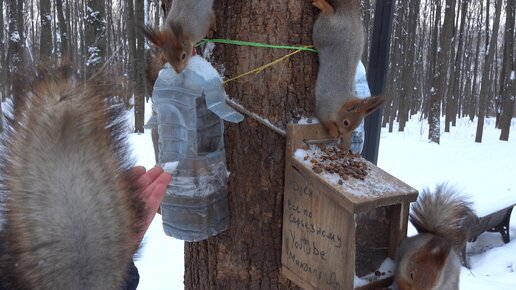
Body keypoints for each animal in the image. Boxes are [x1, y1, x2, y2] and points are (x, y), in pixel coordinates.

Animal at [310, 0, 388, 150]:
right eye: (346, 122)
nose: (342, 135)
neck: (339, 104)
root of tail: (350, 16)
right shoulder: (325, 106)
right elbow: (325, 121)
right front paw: (334, 132)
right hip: (325, 33)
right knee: (328, 15)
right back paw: (322, 5)